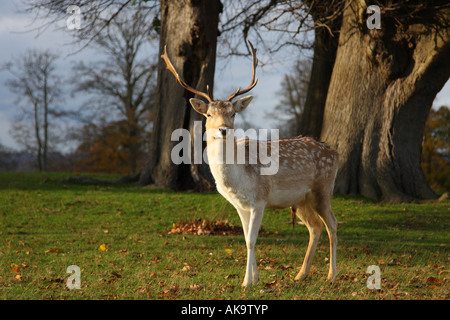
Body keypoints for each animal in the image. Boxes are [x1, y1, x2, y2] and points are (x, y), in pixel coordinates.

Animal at [161, 40, 338, 288]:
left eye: (233, 113)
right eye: (208, 114)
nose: (223, 129)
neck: (237, 181)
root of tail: (335, 152)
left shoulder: (260, 200)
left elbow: (252, 240)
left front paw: (246, 282)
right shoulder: (240, 206)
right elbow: (246, 239)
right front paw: (254, 278)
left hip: (323, 189)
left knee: (332, 224)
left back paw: (332, 275)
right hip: (301, 199)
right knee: (315, 226)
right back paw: (301, 274)